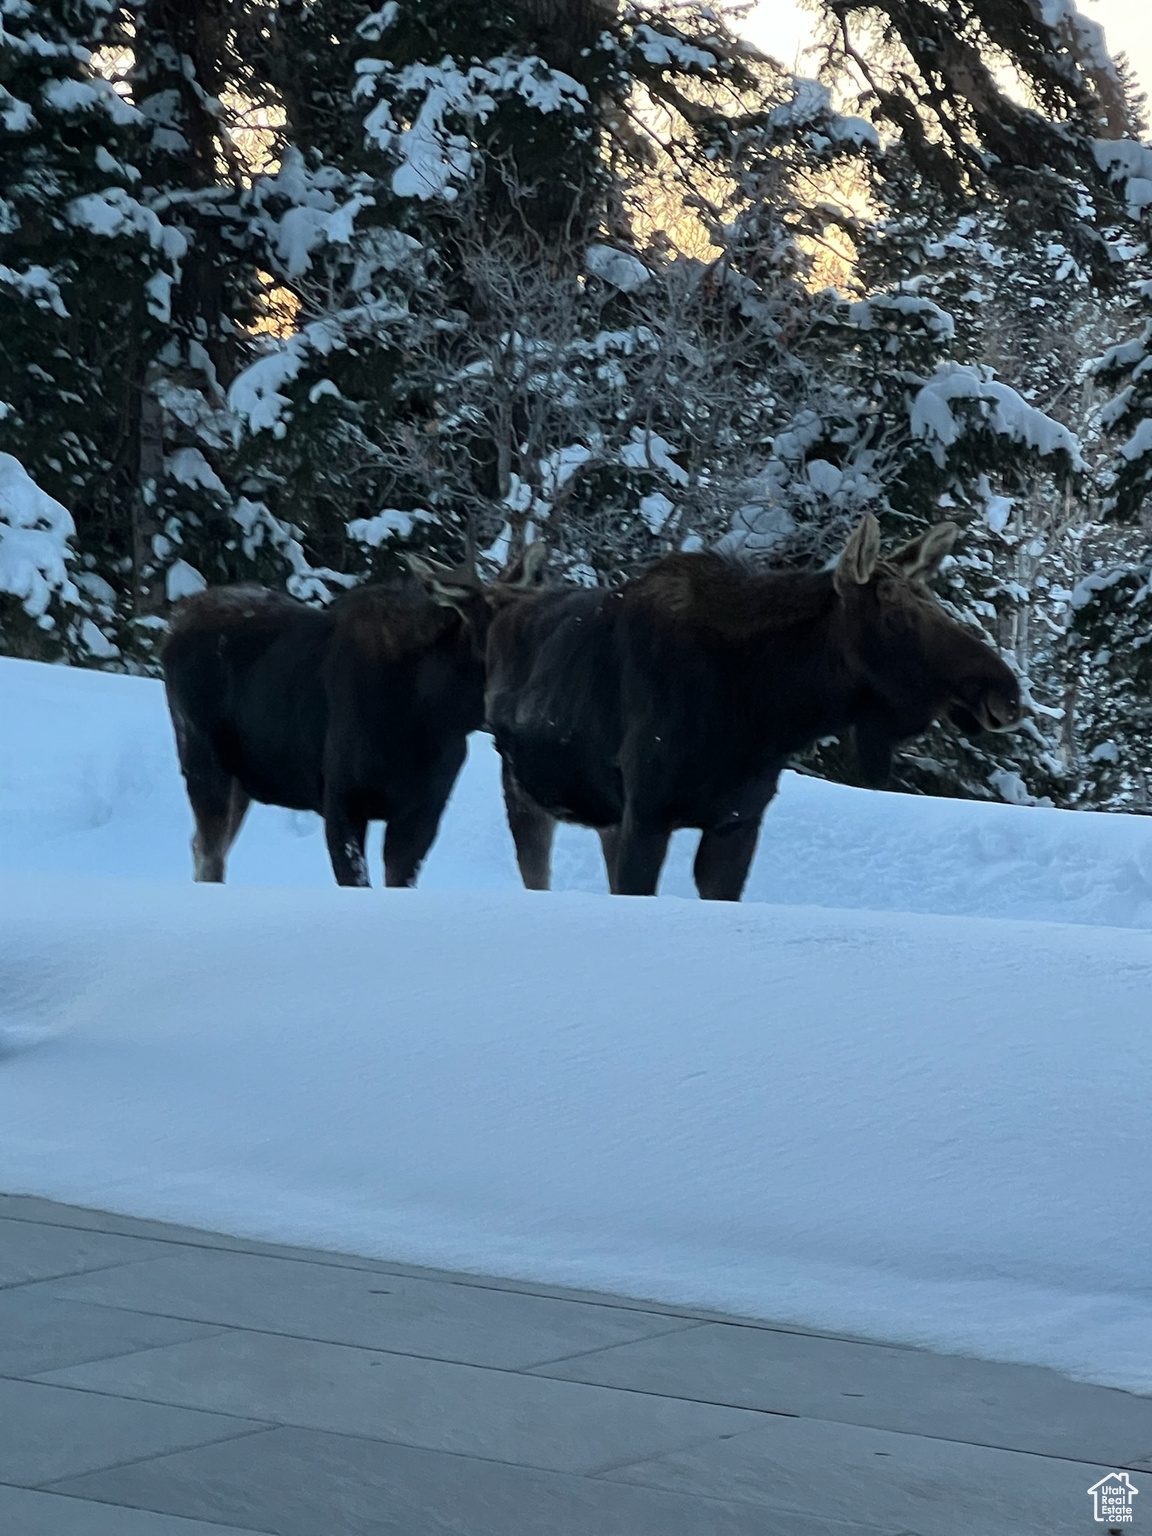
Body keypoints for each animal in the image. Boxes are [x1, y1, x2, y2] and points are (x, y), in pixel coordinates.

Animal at [160, 552, 546, 890]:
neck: (430, 718)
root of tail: (174, 623)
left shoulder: (423, 810)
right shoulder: (342, 799)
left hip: (241, 780)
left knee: (204, 847)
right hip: (201, 756)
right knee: (209, 853)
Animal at [482, 516, 1026, 897]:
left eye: (933, 600)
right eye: (896, 613)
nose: (1004, 691)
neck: (765, 710)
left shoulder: (738, 821)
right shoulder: (649, 813)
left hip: (601, 815)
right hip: (524, 789)